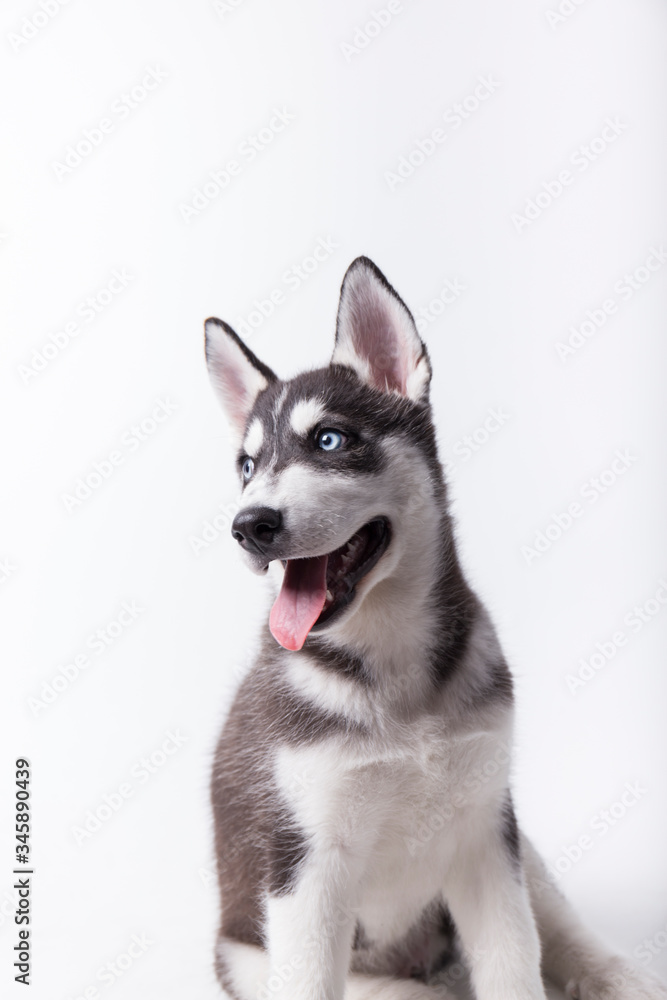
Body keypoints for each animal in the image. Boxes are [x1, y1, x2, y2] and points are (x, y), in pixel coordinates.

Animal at [204, 258, 667, 1000]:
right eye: (247, 467)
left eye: (329, 439)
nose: (249, 526)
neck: (392, 669)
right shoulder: (304, 865)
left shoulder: (485, 838)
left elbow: (515, 960)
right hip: (248, 955)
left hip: (513, 834)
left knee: (558, 930)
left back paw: (617, 973)